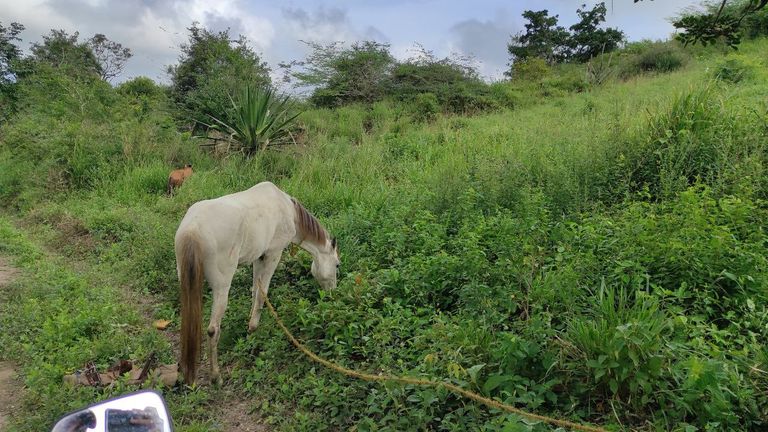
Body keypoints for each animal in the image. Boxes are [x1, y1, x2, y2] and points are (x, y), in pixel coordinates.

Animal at [178, 181, 340, 384]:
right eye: (337, 265)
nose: (332, 293)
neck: (289, 211)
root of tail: (193, 229)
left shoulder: (258, 258)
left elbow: (255, 290)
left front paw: (250, 323)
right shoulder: (273, 255)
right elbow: (263, 294)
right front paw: (253, 328)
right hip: (221, 288)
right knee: (213, 329)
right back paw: (216, 376)